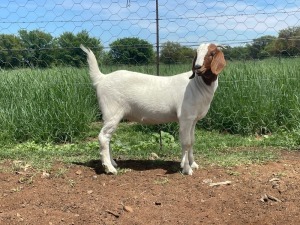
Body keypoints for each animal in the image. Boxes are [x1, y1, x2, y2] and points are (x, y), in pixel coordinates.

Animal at [79, 42, 225, 176]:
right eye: (197, 53)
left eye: (211, 53)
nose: (197, 67)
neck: (197, 85)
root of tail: (101, 78)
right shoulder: (185, 117)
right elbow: (186, 142)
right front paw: (186, 169)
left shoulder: (193, 119)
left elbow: (192, 140)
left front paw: (193, 164)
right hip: (112, 111)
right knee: (103, 136)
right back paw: (109, 168)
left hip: (109, 115)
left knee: (107, 136)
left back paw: (113, 163)